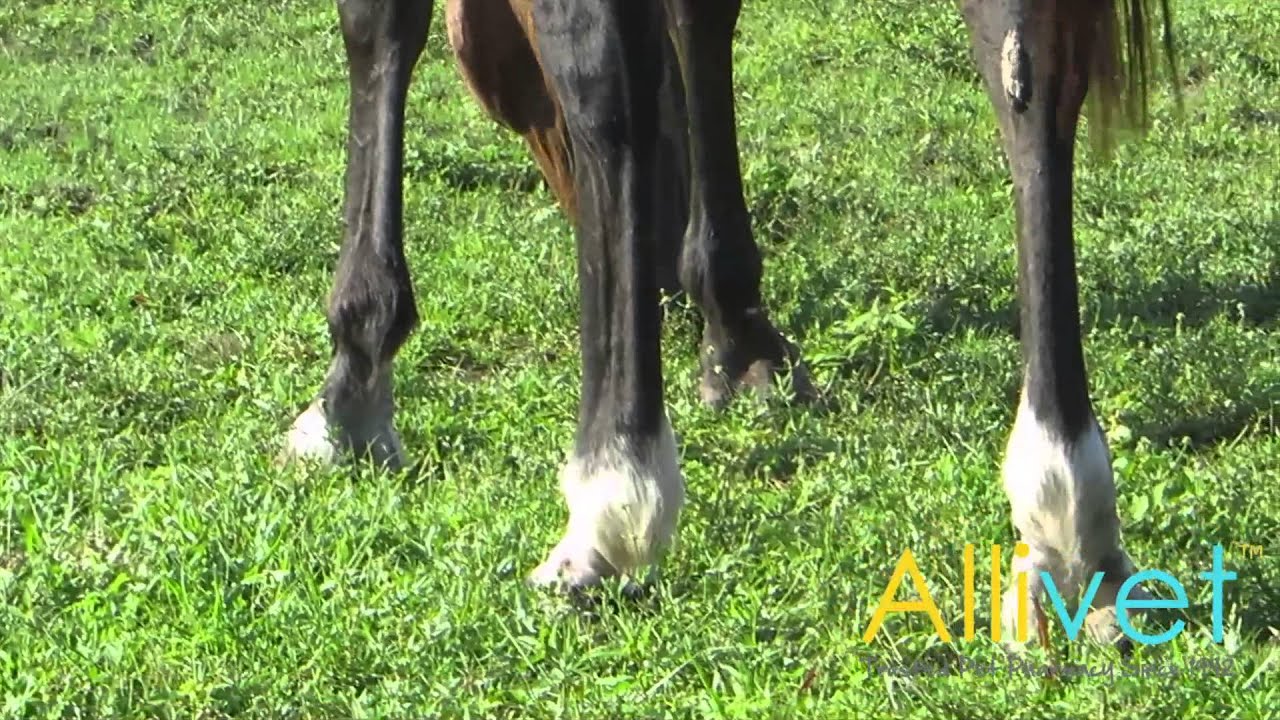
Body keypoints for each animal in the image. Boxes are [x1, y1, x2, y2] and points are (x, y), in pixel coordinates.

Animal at [280, 0, 1178, 650]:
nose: (646, 258)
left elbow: (381, 24)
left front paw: (354, 370)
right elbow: (701, 19)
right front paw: (738, 334)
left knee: (603, 77)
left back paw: (612, 491)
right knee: (1030, 66)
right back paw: (1067, 503)